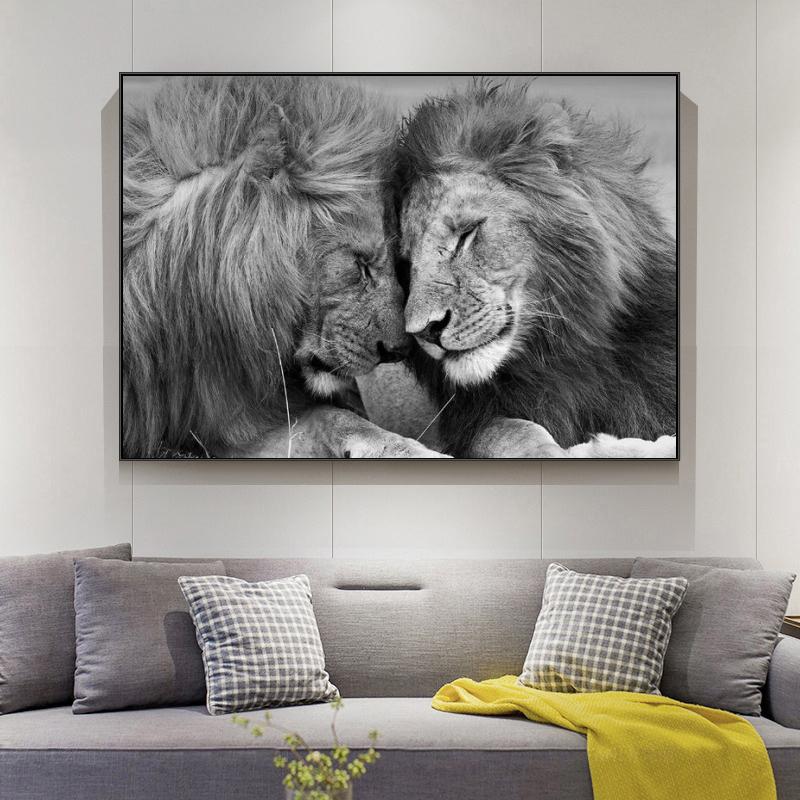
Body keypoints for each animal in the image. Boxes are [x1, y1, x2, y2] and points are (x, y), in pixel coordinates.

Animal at [396, 81, 677, 458]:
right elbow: (509, 432)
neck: (564, 353)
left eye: (466, 235)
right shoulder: (474, 421)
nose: (425, 331)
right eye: (405, 264)